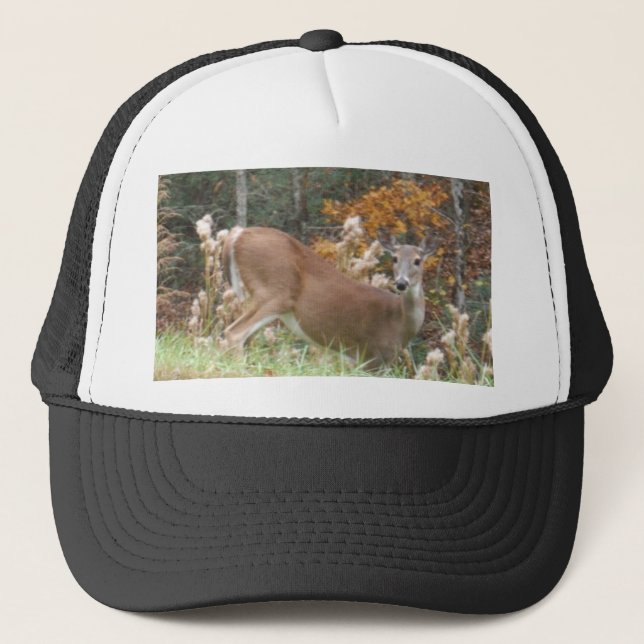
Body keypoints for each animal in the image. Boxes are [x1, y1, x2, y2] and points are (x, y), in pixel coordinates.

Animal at [221, 226, 436, 369]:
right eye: (394, 258)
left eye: (418, 260)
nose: (401, 283)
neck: (398, 321)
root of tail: (239, 233)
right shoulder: (372, 356)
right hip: (275, 292)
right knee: (235, 333)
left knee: (246, 338)